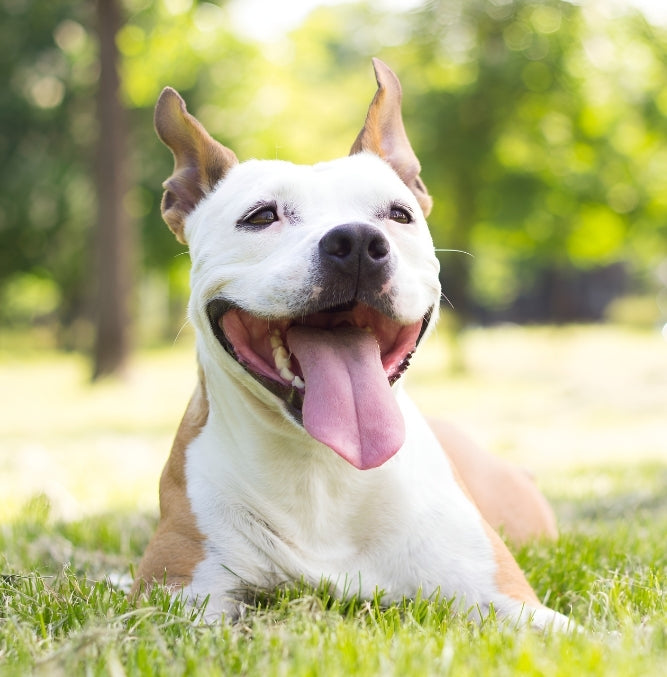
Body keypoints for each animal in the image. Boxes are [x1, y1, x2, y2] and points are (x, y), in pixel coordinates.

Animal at [134, 58, 568, 628]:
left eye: (399, 214)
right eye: (261, 216)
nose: (358, 241)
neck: (324, 468)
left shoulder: (509, 600)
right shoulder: (179, 597)